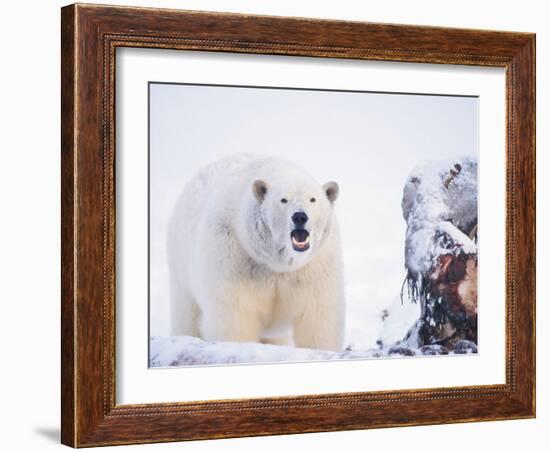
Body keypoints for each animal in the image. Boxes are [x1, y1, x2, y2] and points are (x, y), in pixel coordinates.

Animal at [167, 154, 344, 352]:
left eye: (313, 199)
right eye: (283, 199)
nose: (300, 216)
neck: (276, 264)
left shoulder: (314, 267)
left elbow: (318, 316)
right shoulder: (233, 255)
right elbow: (235, 314)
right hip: (182, 265)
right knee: (187, 315)